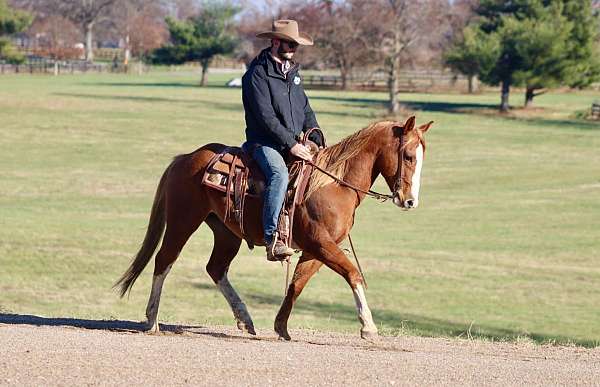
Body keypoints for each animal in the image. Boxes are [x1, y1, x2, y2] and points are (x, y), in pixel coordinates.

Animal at [115, 115, 432, 340]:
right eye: (408, 156)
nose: (410, 201)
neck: (333, 185)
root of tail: (184, 159)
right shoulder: (321, 244)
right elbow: (353, 274)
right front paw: (368, 327)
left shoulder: (316, 250)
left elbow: (297, 284)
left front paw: (281, 327)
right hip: (183, 222)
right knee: (164, 260)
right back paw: (152, 319)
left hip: (226, 232)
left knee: (216, 268)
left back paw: (245, 319)